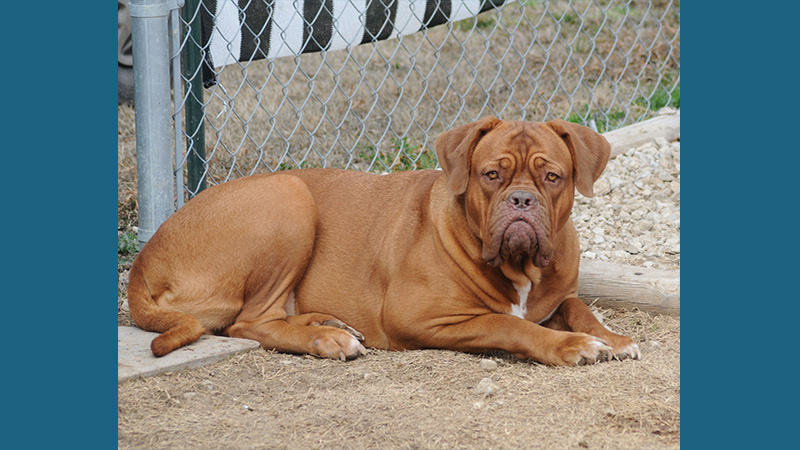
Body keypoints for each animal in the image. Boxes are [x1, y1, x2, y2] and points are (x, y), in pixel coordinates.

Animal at [131, 116, 644, 366]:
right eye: (491, 175)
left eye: (552, 177)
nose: (521, 200)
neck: (521, 267)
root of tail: (142, 263)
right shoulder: (418, 316)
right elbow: (509, 325)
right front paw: (570, 346)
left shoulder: (560, 295)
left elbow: (580, 309)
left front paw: (612, 339)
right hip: (289, 197)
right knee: (248, 322)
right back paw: (326, 339)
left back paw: (330, 323)